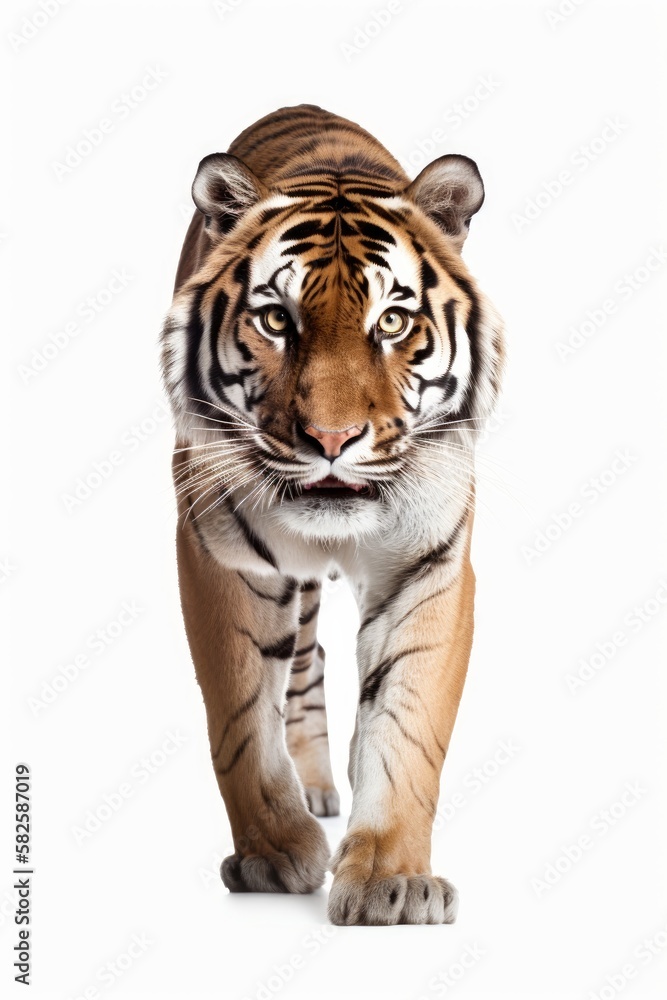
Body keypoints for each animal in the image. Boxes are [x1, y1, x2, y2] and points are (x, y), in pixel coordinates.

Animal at [161, 104, 505, 926]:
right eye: (275, 320)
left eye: (392, 323)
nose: (331, 438)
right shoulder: (221, 556)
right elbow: (240, 719)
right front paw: (274, 854)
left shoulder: (429, 565)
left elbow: (407, 723)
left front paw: (391, 879)